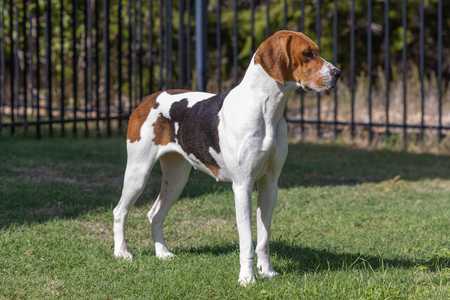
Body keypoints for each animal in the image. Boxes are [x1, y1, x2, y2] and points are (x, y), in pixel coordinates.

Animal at [113, 30, 342, 286]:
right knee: (119, 211)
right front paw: (247, 278)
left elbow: (263, 239)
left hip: (176, 179)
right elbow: (247, 241)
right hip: (138, 173)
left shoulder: (270, 185)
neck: (266, 110)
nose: (337, 73)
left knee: (155, 214)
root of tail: (147, 99)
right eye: (307, 54)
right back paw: (122, 252)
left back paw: (162, 253)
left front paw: (267, 272)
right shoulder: (242, 186)